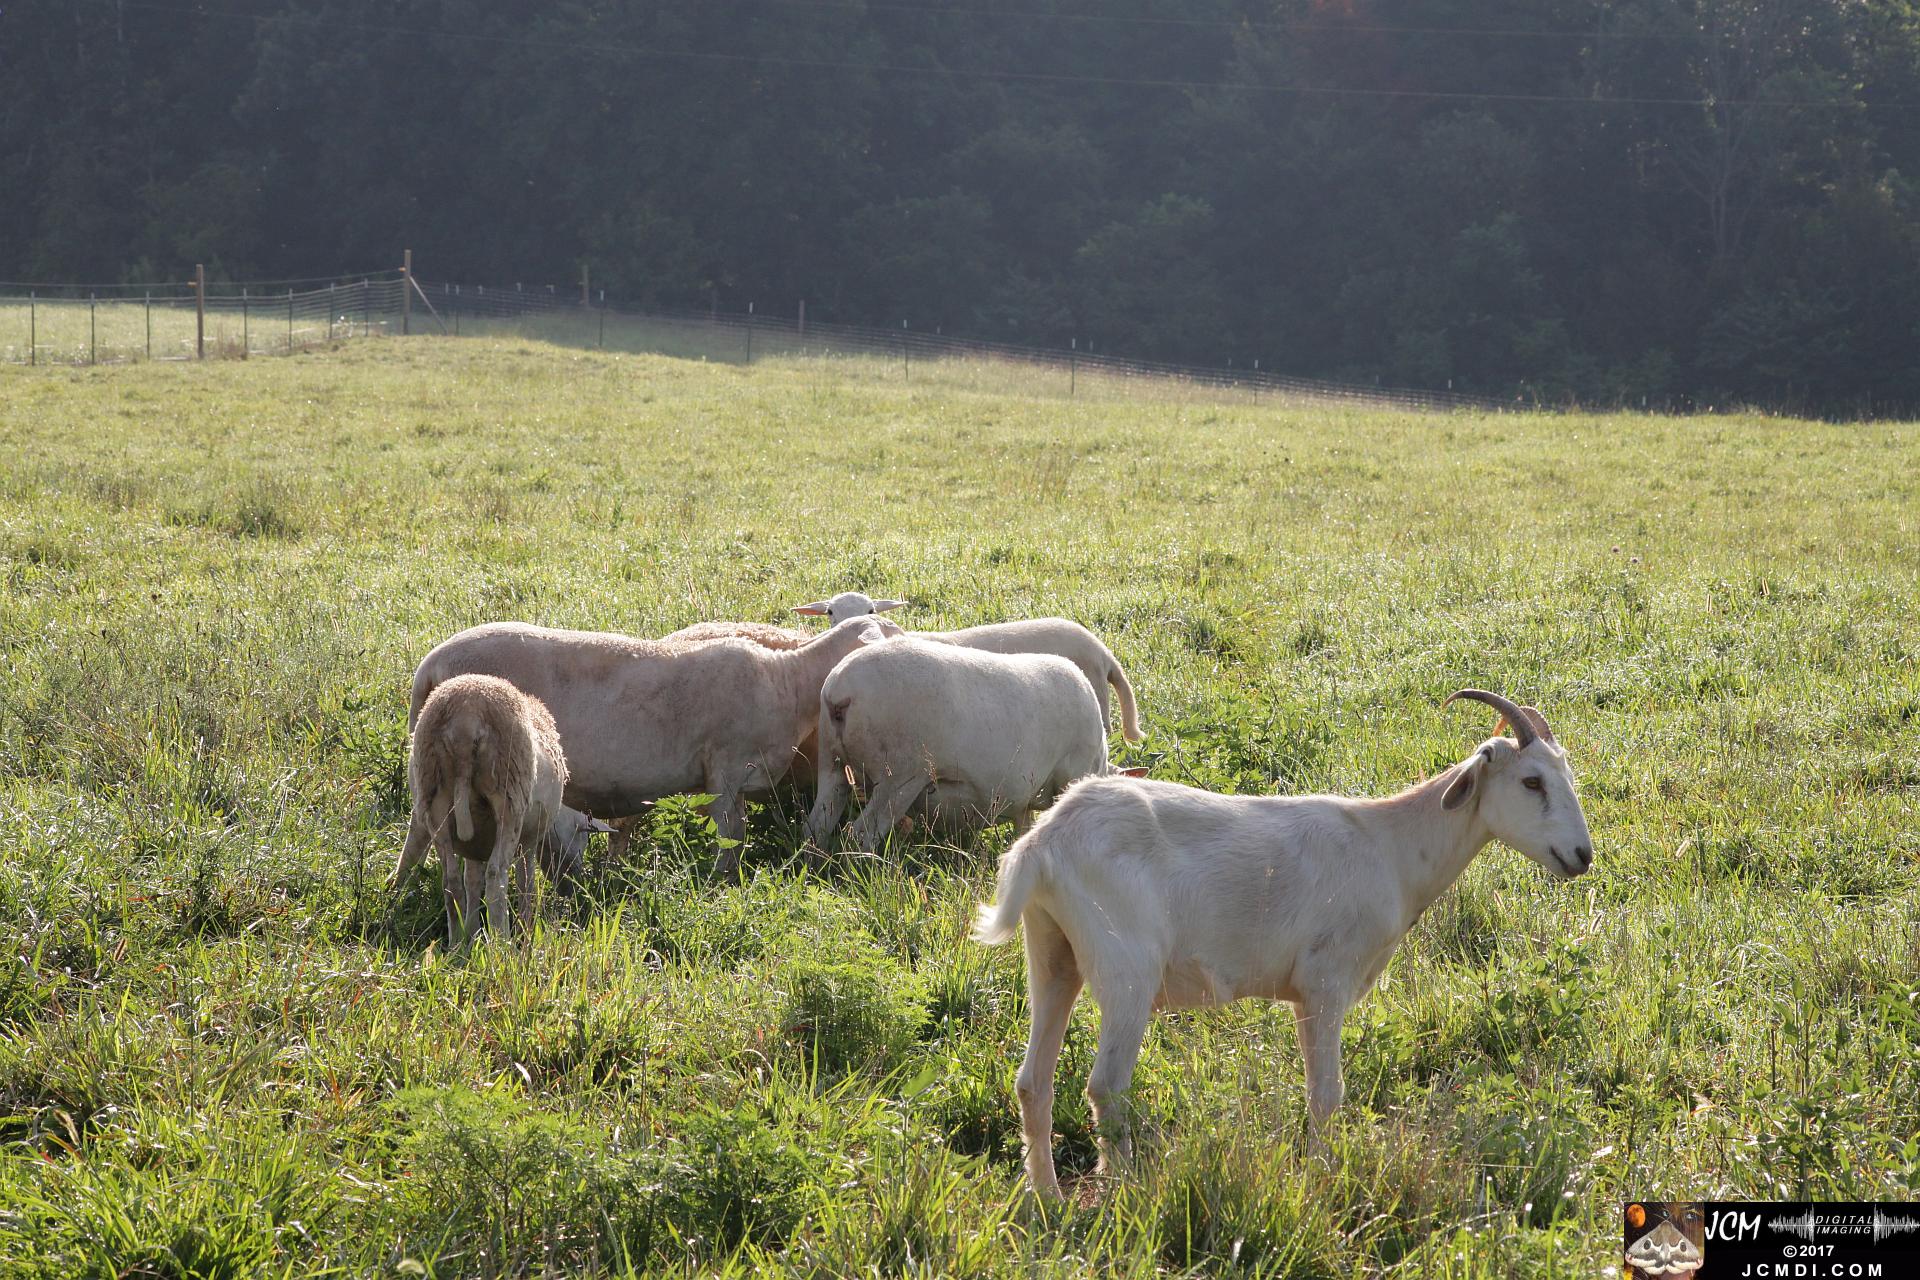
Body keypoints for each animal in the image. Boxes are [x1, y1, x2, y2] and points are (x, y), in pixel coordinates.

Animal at [391, 674, 611, 945]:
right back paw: (501, 942)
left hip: (433, 797)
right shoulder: (529, 841)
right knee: (496, 877)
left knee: (451, 881)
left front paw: (472, 933)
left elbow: (472, 882)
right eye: (583, 839)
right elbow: (526, 884)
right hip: (509, 797)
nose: (570, 889)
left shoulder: (475, 846)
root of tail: (466, 719)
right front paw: (525, 932)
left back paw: (456, 944)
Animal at [803, 636, 1121, 852]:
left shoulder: (1022, 800)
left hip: (831, 761)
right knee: (860, 836)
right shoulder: (1069, 779)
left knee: (817, 825)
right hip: (900, 776)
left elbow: (1024, 827)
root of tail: (840, 693)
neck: (1101, 761)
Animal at [969, 690, 1594, 1197]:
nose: (1582, 856)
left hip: (1052, 955)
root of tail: (1042, 845)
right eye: (1532, 781)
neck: (1390, 847)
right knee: (1106, 1087)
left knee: (1033, 1082)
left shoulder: (1301, 995)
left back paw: (1047, 1197)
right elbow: (1327, 1093)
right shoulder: (1326, 982)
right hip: (1127, 972)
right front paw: (1320, 1177)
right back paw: (1125, 1191)